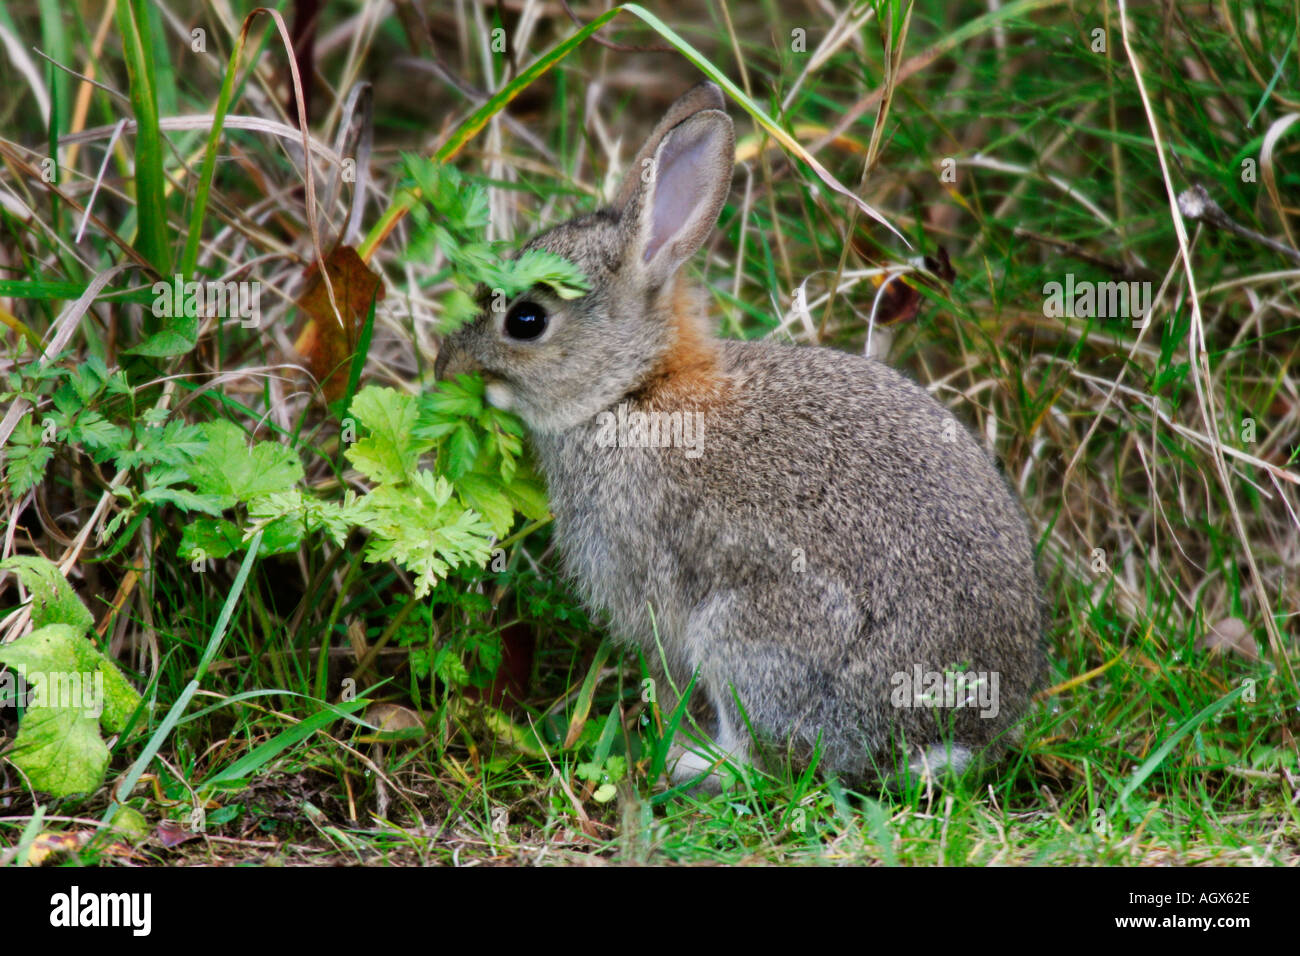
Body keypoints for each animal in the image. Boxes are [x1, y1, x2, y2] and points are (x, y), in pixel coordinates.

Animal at [435, 81, 1047, 790]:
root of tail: (952, 735)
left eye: (527, 320)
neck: (633, 388)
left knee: (768, 764)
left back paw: (687, 760)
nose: (446, 366)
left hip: (752, 636)